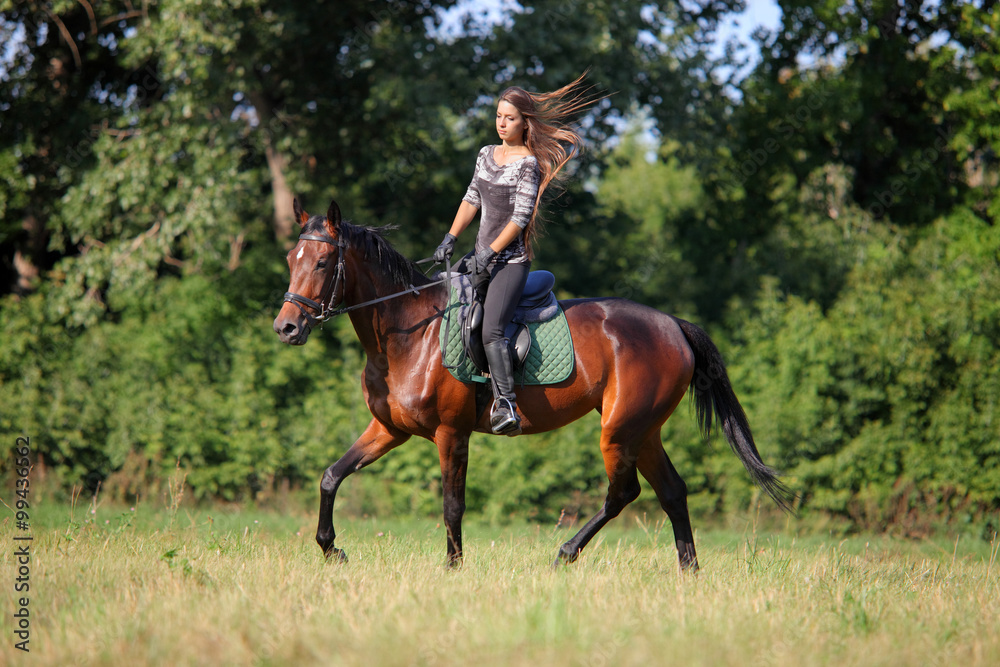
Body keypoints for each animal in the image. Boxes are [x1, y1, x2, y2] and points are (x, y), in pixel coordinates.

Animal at [273, 199, 793, 569]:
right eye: (291, 258)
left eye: (322, 263)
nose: (286, 328)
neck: (408, 334)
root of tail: (672, 325)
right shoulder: (389, 430)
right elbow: (330, 476)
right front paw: (332, 549)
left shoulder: (451, 433)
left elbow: (453, 505)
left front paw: (453, 568)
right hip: (642, 431)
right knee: (672, 492)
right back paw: (689, 569)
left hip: (620, 430)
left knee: (624, 493)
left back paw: (565, 553)